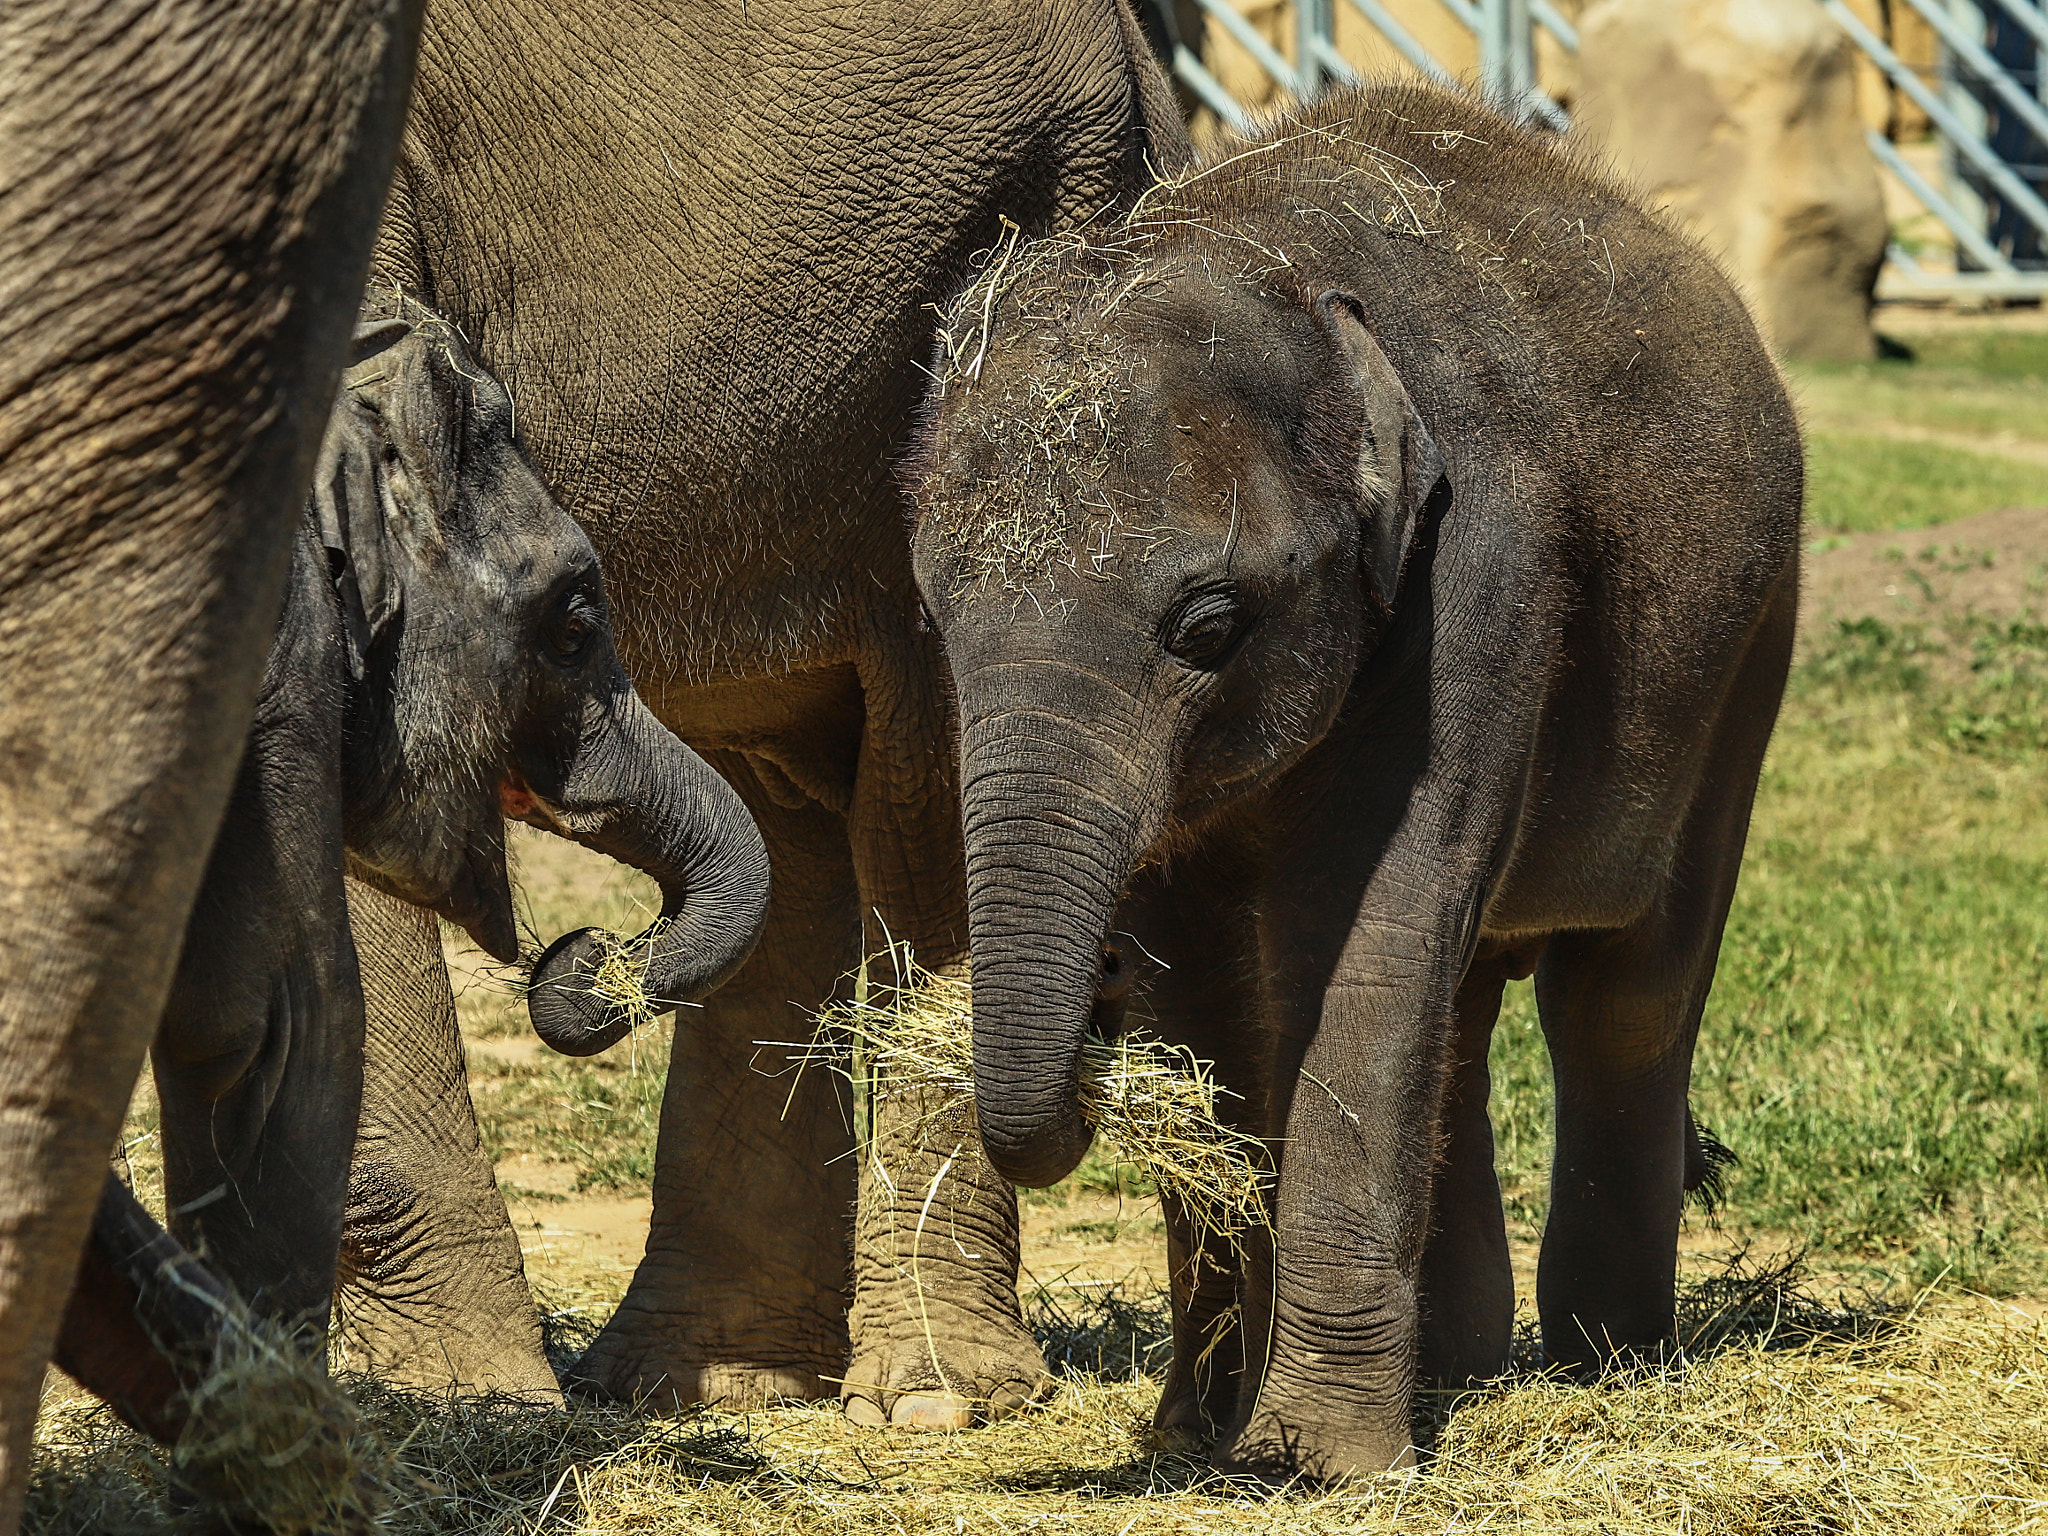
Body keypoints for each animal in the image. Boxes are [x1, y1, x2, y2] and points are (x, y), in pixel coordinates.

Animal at [344, 0, 1196, 1425]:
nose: (579, 959)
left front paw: (456, 1404)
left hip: (1021, 261)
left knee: (921, 798)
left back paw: (929, 1400)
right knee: (787, 813)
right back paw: (704, 1385)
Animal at [905, 83, 1802, 1482]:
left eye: (1208, 626)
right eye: (935, 621)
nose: (1095, 984)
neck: (1265, 258)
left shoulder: (1484, 570)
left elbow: (1369, 941)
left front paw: (1312, 1463)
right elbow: (1210, 984)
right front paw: (1196, 1437)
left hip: (1745, 649)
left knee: (1622, 994)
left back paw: (1606, 1366)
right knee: (1468, 1011)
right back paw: (1460, 1365)